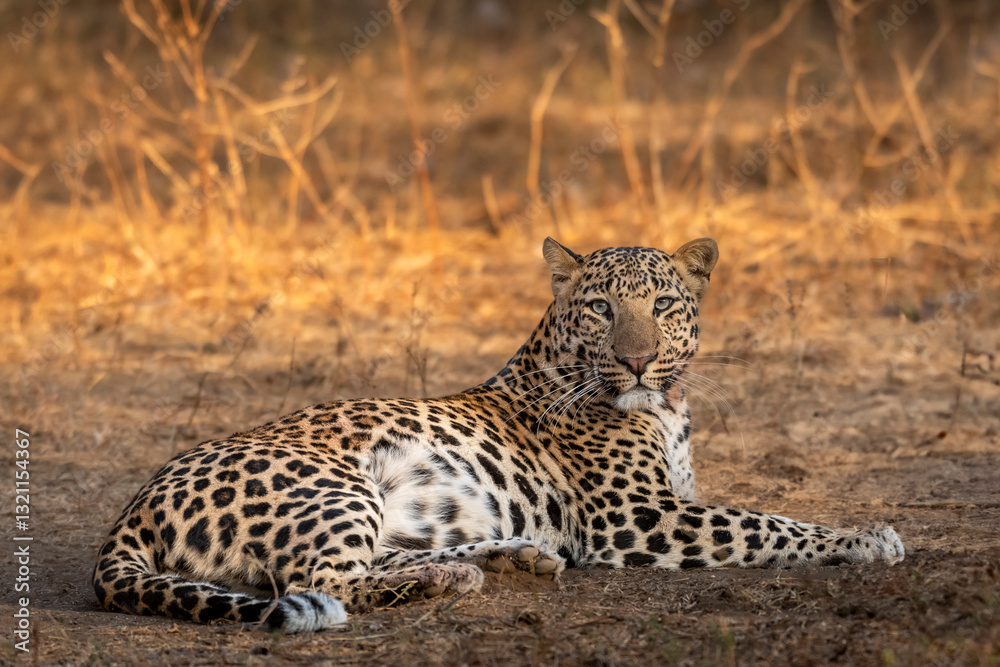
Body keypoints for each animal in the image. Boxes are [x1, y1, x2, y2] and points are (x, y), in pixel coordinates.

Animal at [93, 237, 905, 632]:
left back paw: (508, 559)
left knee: (377, 559)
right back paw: (460, 575)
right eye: (602, 309)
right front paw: (866, 537)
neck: (664, 408)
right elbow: (767, 522)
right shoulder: (636, 518)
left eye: (664, 305)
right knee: (320, 582)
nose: (637, 360)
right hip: (336, 485)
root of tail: (132, 507)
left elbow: (759, 514)